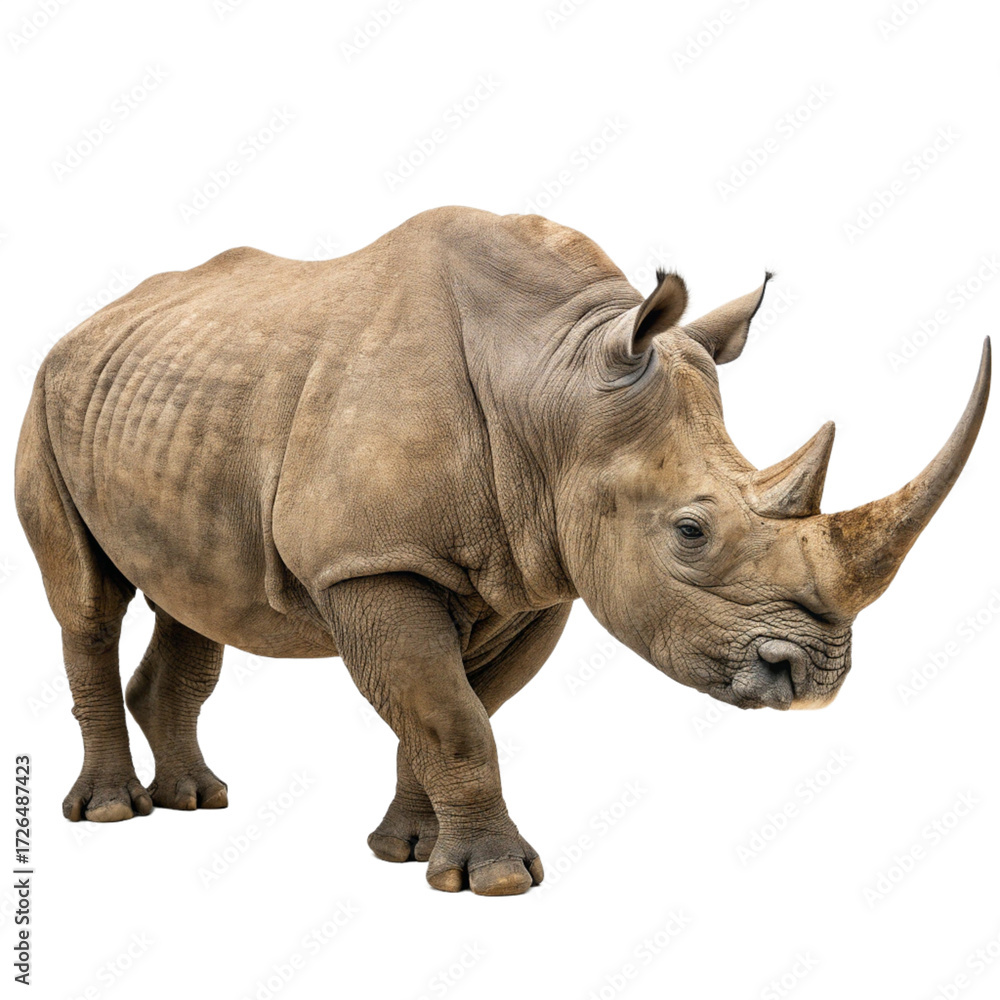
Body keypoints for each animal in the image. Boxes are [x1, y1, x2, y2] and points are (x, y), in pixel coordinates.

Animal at [15, 206, 990, 895]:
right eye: (691, 532)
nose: (817, 679)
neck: (554, 384)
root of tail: (90, 321)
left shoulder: (538, 570)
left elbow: (454, 709)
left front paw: (410, 852)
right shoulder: (374, 559)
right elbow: (450, 714)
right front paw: (499, 881)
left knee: (195, 597)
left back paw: (197, 799)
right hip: (45, 395)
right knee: (88, 602)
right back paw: (111, 814)